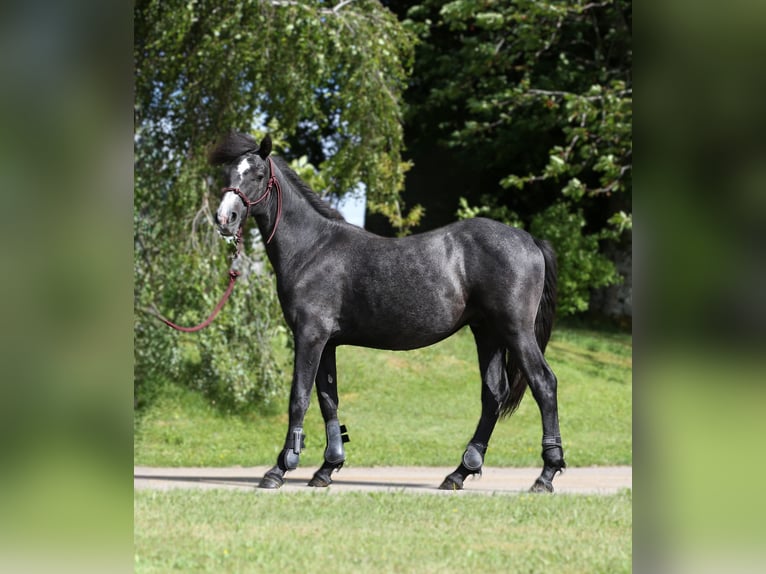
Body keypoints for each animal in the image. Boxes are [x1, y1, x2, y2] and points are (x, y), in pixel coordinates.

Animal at [210, 132, 566, 492]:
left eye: (257, 175)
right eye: (227, 174)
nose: (225, 220)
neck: (312, 249)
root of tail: (531, 241)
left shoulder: (310, 336)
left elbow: (299, 398)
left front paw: (279, 469)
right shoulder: (328, 342)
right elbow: (328, 399)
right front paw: (327, 468)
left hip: (515, 331)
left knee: (544, 383)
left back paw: (546, 475)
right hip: (488, 333)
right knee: (493, 394)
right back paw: (459, 473)